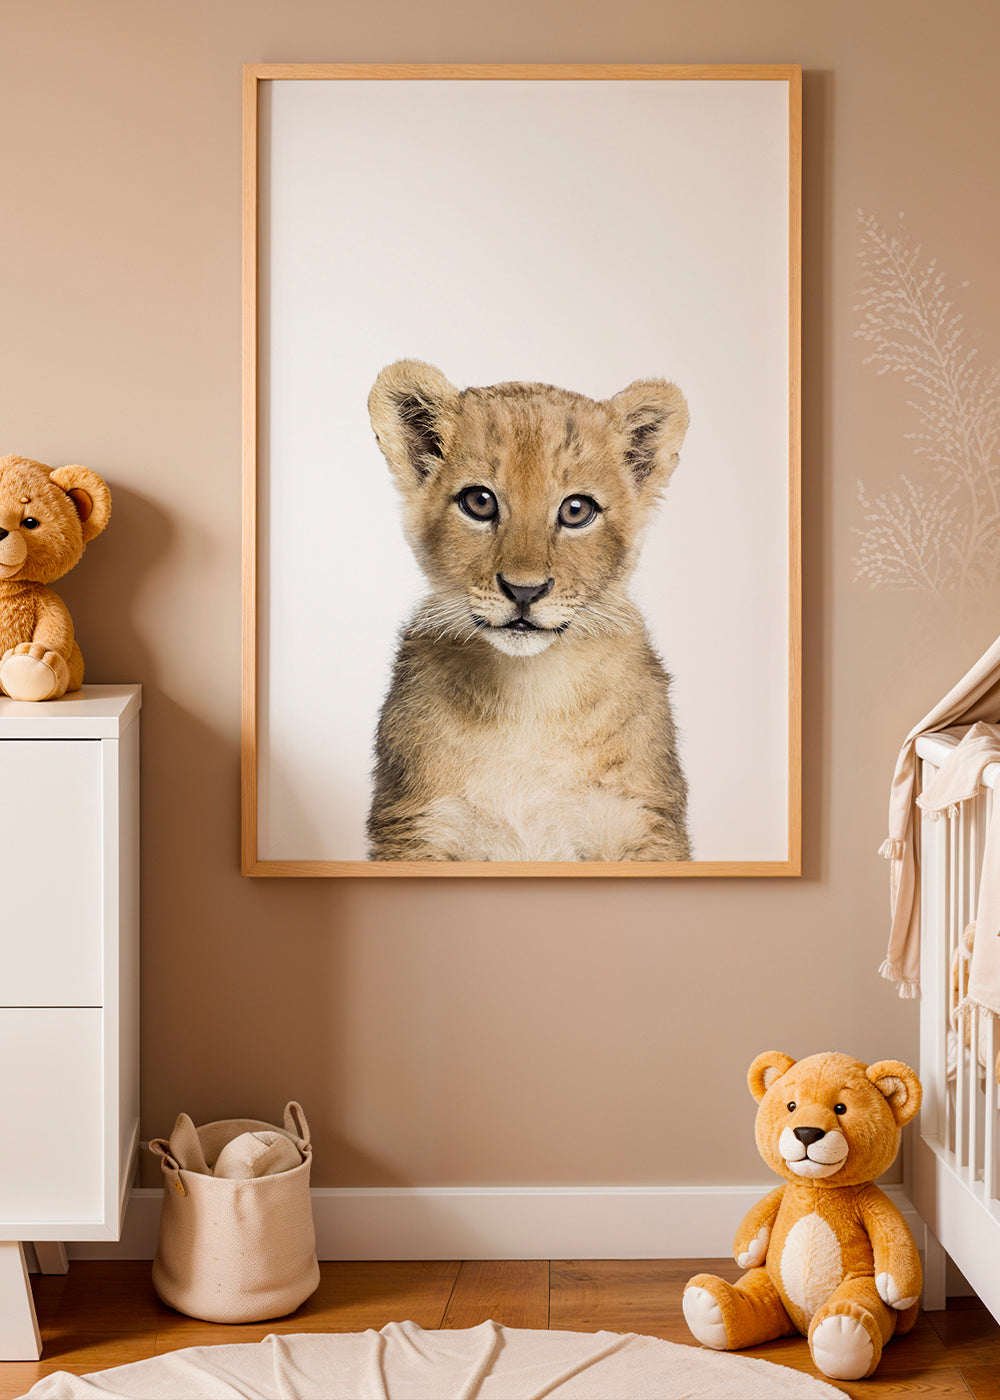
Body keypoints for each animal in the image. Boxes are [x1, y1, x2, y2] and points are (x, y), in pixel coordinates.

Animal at [365, 360, 692, 863]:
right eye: (479, 502)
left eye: (576, 510)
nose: (524, 591)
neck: (528, 696)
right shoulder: (417, 826)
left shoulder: (643, 823)